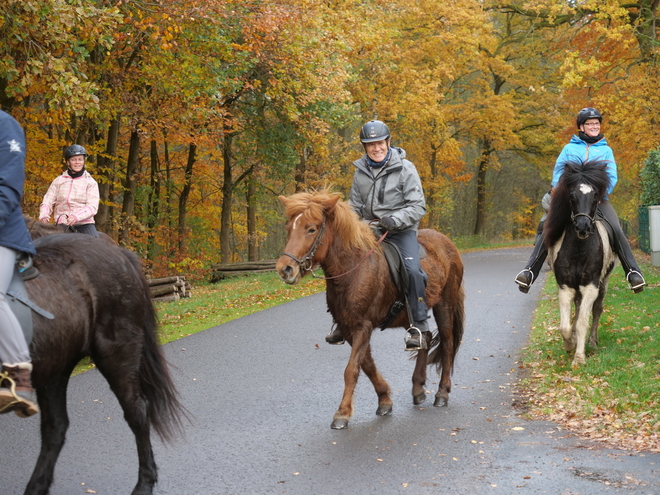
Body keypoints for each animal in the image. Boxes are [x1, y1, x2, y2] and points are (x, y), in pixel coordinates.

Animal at [10, 233, 186, 495]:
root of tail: (118, 251)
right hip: (55, 369)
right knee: (55, 427)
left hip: (116, 356)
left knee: (137, 412)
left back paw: (144, 484)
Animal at [276, 190, 466, 430]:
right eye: (289, 227)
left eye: (311, 229)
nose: (285, 269)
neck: (353, 269)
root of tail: (448, 244)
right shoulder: (349, 327)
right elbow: (365, 364)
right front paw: (384, 400)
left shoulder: (363, 326)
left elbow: (351, 370)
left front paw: (342, 413)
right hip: (410, 315)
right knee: (424, 337)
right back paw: (418, 388)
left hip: (444, 305)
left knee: (448, 344)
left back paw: (442, 393)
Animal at [544, 161, 616, 366]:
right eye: (572, 196)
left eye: (595, 196)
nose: (583, 227)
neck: (578, 249)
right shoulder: (566, 286)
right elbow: (565, 326)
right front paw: (570, 343)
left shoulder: (591, 286)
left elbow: (584, 320)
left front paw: (579, 357)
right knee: (577, 308)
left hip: (604, 281)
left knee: (597, 309)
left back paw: (592, 341)